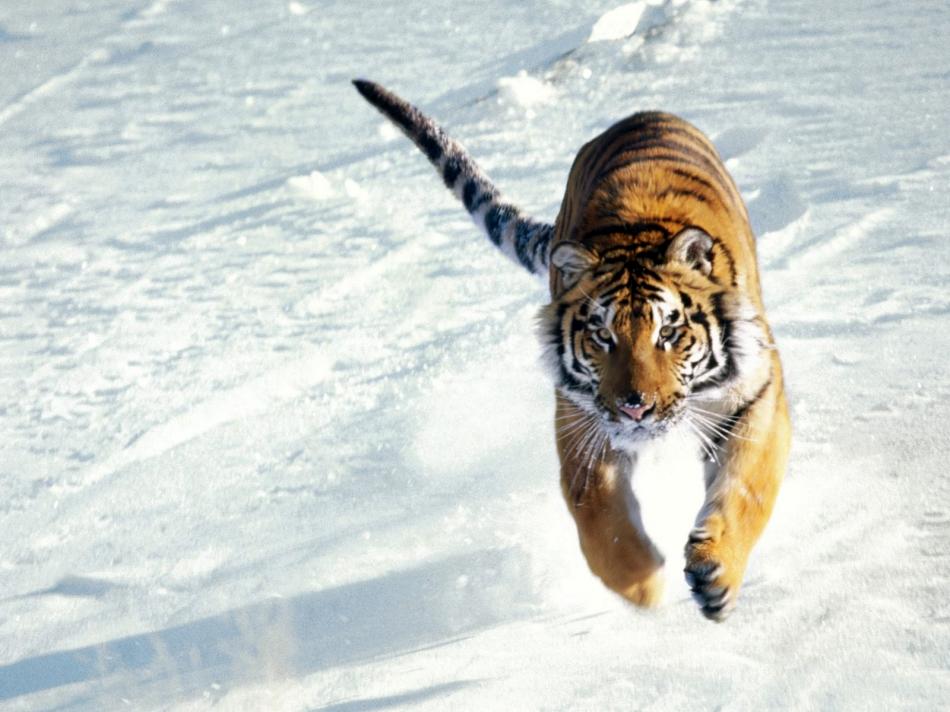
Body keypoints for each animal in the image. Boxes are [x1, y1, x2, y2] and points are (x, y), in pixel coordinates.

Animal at [353, 79, 790, 622]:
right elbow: (599, 517)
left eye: (668, 333)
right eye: (602, 336)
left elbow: (746, 489)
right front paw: (642, 585)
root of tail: (639, 114)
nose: (635, 407)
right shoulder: (581, 419)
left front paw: (716, 575)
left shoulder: (755, 396)